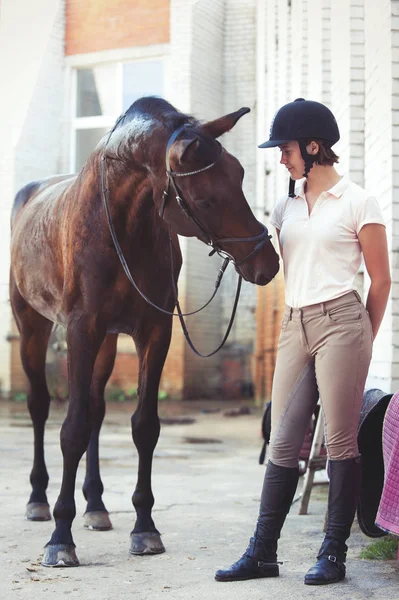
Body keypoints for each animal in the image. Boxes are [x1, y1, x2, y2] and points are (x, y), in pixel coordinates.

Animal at [8, 97, 278, 568]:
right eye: (205, 198)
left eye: (241, 174)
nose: (268, 262)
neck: (119, 226)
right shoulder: (80, 330)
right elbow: (71, 429)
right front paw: (61, 537)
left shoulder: (154, 330)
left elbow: (143, 426)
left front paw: (145, 528)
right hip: (33, 327)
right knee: (40, 406)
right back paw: (39, 500)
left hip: (107, 342)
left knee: (96, 410)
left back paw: (96, 506)